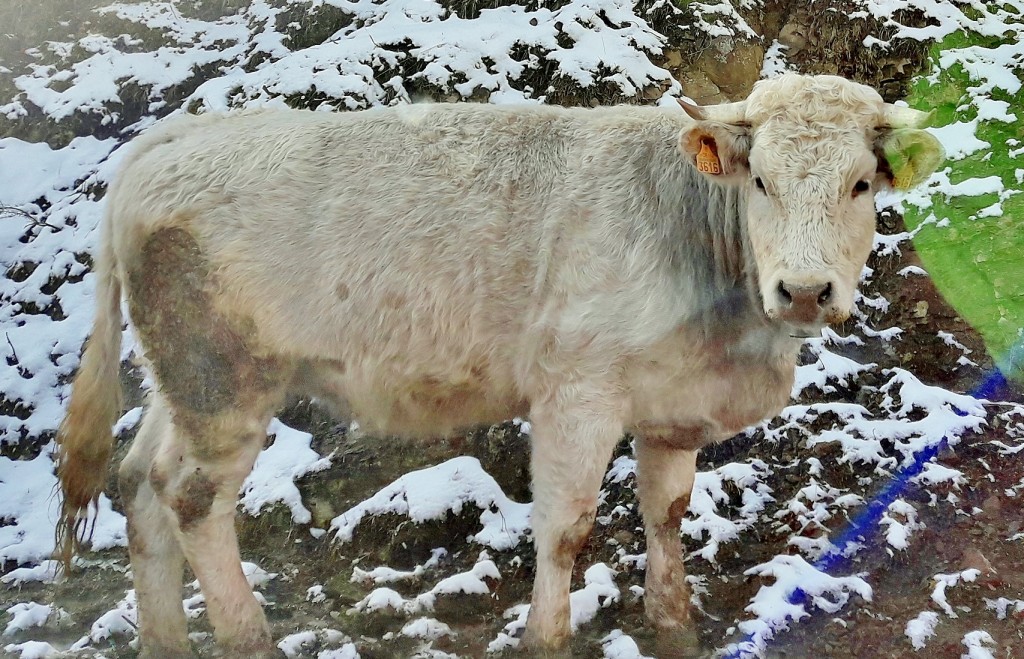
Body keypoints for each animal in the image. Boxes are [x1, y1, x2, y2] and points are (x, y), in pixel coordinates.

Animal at [51, 74, 937, 654]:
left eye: (861, 184)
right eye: (760, 179)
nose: (805, 290)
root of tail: (180, 134)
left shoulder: (669, 404)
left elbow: (667, 511)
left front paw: (675, 623)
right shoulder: (576, 393)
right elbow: (565, 527)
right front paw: (548, 635)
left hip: (182, 380)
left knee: (142, 481)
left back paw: (165, 639)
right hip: (223, 377)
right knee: (192, 499)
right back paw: (248, 638)